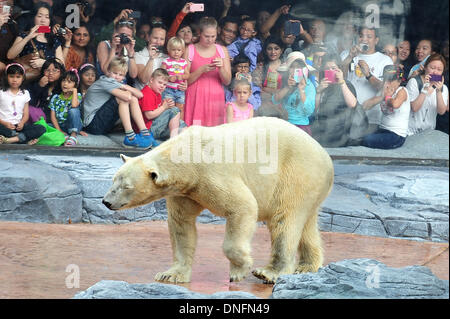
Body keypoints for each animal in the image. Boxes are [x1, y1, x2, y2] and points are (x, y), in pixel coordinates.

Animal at [103, 117, 334, 282]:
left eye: (126, 186)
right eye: (113, 180)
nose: (106, 201)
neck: (188, 155)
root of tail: (325, 156)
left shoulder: (212, 174)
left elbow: (244, 207)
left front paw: (239, 269)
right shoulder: (185, 191)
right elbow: (181, 225)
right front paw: (171, 274)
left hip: (296, 174)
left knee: (285, 220)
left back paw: (269, 272)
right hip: (311, 186)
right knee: (306, 224)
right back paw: (306, 266)